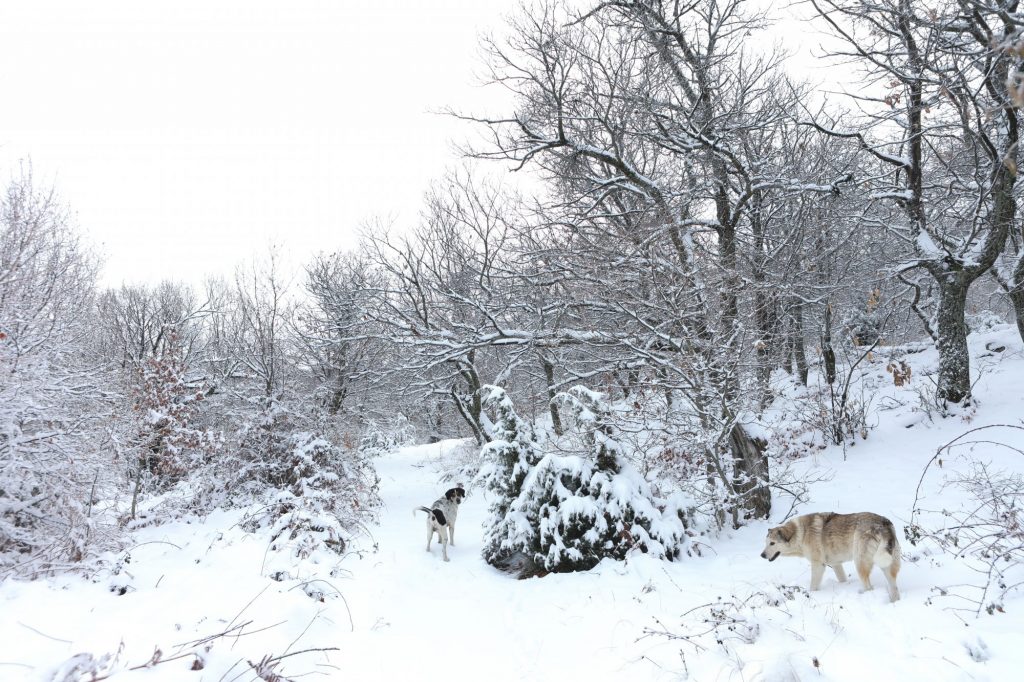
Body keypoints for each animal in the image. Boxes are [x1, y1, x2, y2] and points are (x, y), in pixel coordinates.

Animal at [757, 509, 901, 602]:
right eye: (766, 543)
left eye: (772, 543)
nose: (762, 555)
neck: (801, 533)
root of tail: (883, 523)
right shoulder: (836, 564)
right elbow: (842, 579)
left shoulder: (818, 565)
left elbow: (813, 586)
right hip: (887, 567)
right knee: (894, 588)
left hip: (860, 564)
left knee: (869, 587)